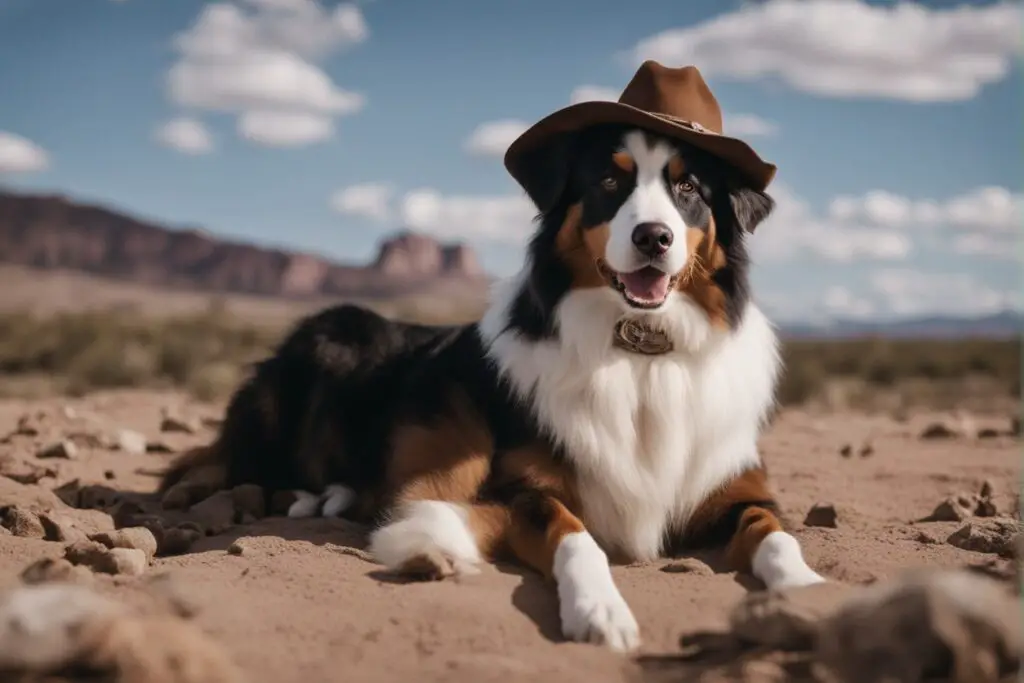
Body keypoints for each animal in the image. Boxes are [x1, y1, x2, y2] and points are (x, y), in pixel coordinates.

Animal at [163, 62, 827, 651]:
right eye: (609, 183)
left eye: (689, 188)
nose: (653, 238)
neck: (640, 349)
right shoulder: (524, 489)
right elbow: (575, 537)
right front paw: (599, 609)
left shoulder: (740, 490)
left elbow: (775, 536)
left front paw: (806, 587)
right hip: (334, 337)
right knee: (224, 467)